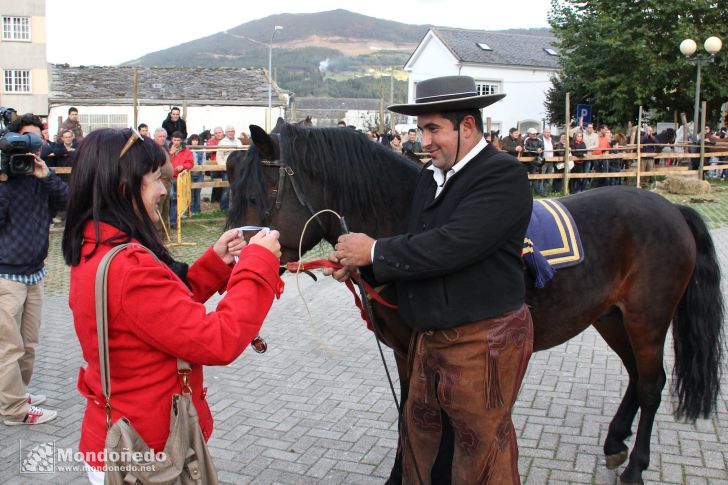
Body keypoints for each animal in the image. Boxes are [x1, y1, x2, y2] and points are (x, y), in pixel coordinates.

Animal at [226, 123, 724, 482]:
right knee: (636, 378)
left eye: (255, 194)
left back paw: (636, 465)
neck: (406, 223)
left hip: (647, 319)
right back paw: (616, 441)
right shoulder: (408, 352)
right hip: (612, 318)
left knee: (652, 384)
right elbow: (411, 413)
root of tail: (670, 209)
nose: (233, 267)